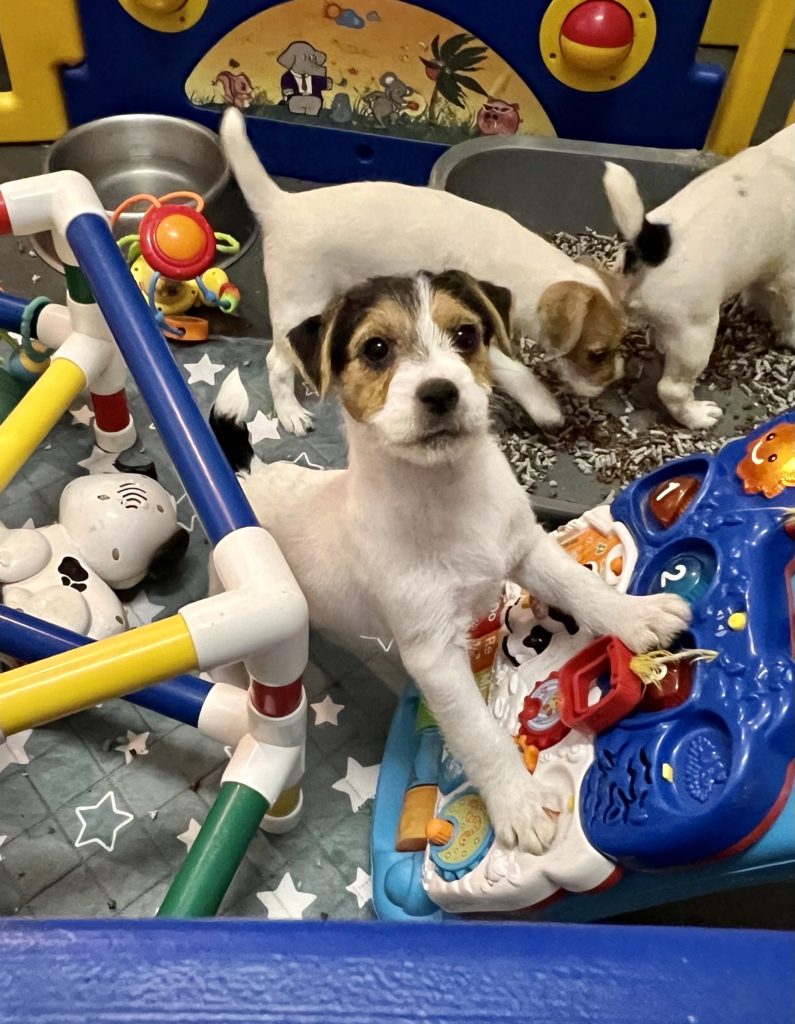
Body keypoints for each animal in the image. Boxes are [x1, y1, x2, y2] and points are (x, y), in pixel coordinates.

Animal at [209, 270, 690, 852]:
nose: (442, 391)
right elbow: (480, 735)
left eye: (465, 335)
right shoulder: (435, 654)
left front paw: (638, 617)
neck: (446, 493)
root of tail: (248, 475)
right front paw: (519, 803)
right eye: (376, 349)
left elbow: (580, 588)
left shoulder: (525, 548)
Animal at [219, 107, 627, 436]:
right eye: (596, 354)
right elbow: (516, 371)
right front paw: (545, 406)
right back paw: (290, 412)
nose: (615, 381)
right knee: (277, 364)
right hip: (299, 304)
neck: (523, 264)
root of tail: (282, 206)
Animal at [603, 123, 795, 431]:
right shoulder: (788, 278)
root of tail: (650, 240)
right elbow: (788, 316)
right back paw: (698, 416)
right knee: (672, 389)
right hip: (695, 334)